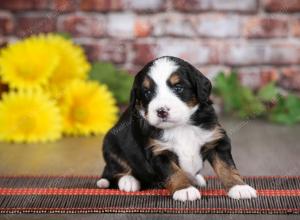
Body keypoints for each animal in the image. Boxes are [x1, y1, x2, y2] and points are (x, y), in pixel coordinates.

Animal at [97, 56, 256, 201]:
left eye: (178, 88)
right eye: (147, 92)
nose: (161, 111)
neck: (181, 126)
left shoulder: (217, 139)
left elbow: (227, 166)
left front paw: (239, 187)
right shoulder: (158, 152)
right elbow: (174, 172)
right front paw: (184, 190)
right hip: (111, 144)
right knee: (114, 170)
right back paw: (128, 181)